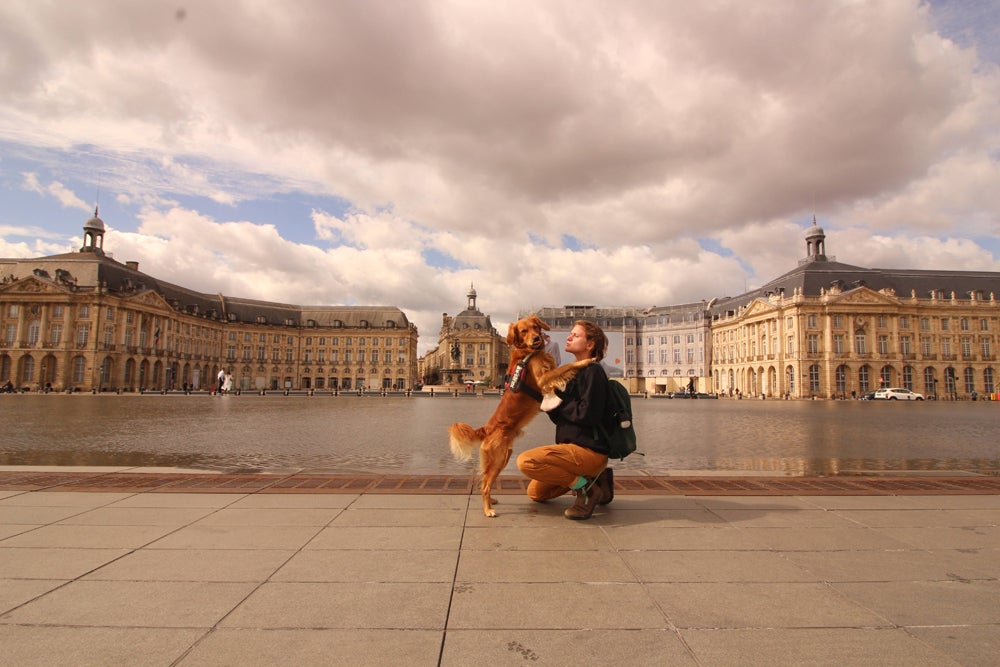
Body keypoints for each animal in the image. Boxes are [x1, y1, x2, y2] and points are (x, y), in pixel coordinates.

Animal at [448, 316, 592, 520]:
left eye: (535, 327)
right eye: (523, 331)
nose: (536, 338)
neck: (529, 353)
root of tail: (487, 428)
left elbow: (563, 370)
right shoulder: (543, 378)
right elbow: (567, 367)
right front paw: (587, 360)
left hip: (503, 458)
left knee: (485, 480)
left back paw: (491, 501)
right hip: (498, 458)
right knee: (485, 485)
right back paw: (488, 510)